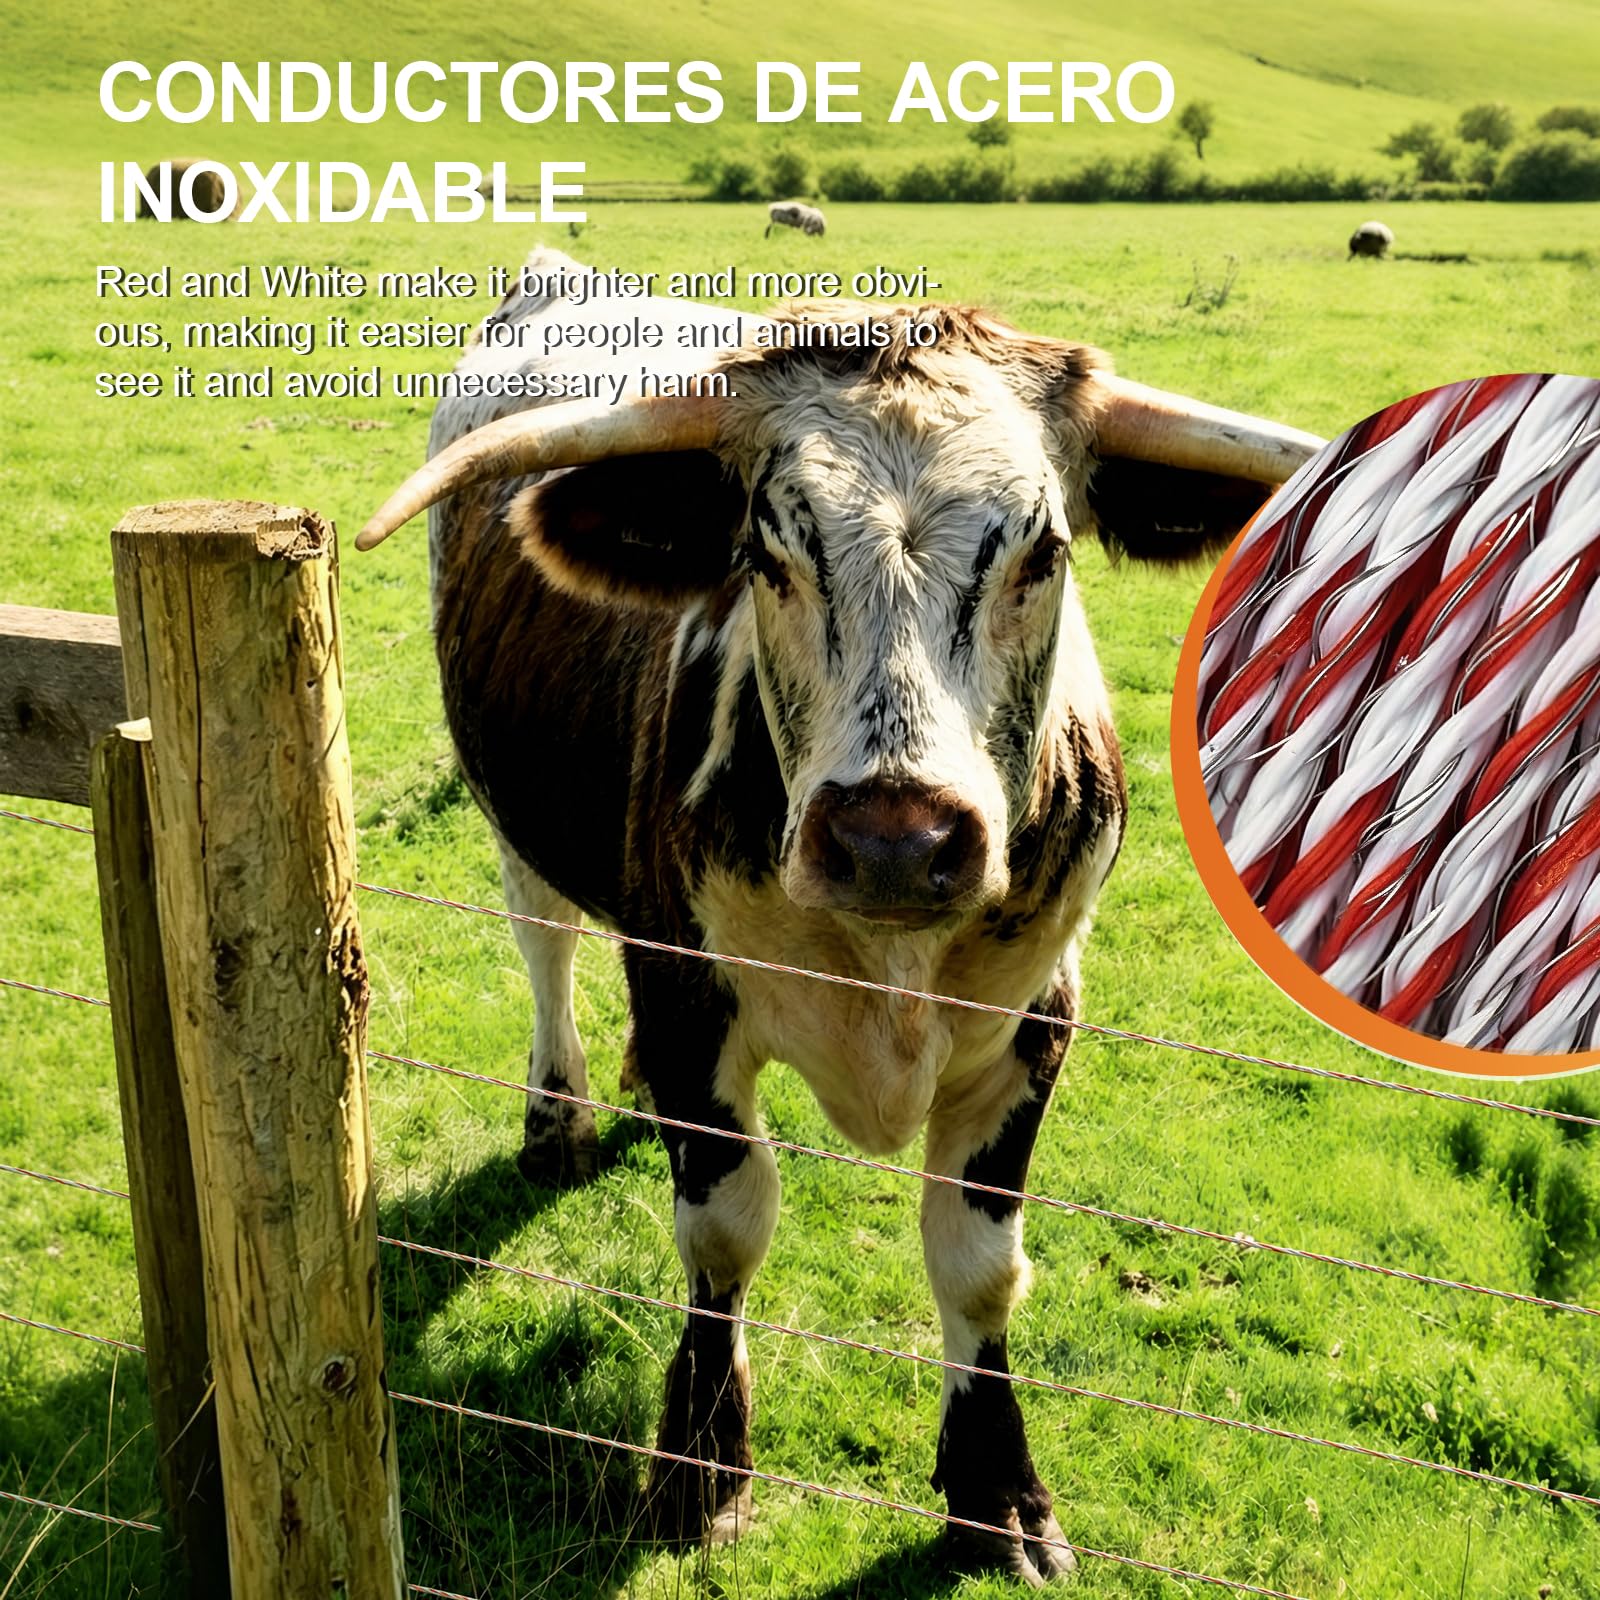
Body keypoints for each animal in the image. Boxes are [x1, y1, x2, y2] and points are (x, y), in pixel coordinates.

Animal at [359, 248, 1320, 1582]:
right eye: (769, 555)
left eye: (1043, 552)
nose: (893, 839)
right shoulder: (690, 993)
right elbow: (723, 1229)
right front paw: (698, 1464)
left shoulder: (1037, 1021)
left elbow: (979, 1267)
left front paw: (997, 1492)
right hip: (516, 814)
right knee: (545, 942)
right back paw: (559, 1114)